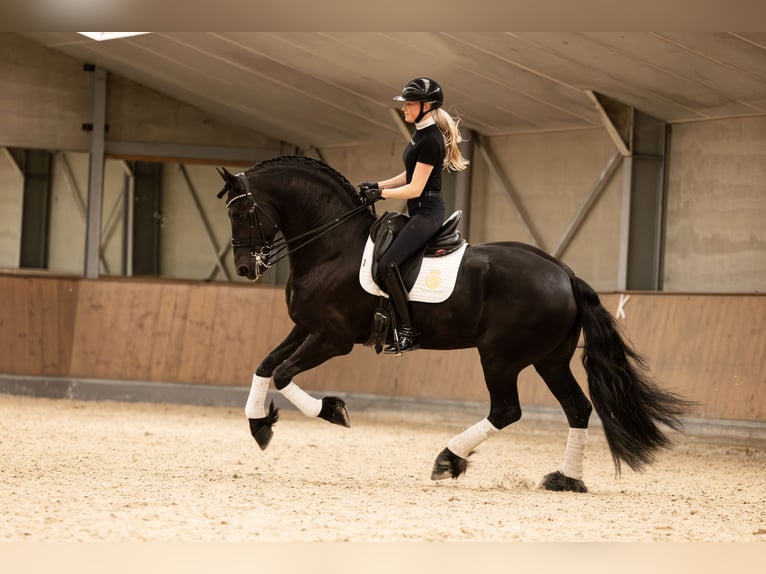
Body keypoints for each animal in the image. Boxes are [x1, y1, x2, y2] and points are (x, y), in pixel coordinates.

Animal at [216, 154, 688, 496]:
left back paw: (448, 459)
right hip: (548, 360)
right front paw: (259, 425)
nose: (244, 268)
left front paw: (332, 411)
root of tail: (565, 274)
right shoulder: (306, 328)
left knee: (507, 410)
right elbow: (265, 366)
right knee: (577, 408)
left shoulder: (333, 338)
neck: (333, 247)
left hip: (500, 357)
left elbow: (282, 373)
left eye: (241, 214)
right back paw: (566, 479)